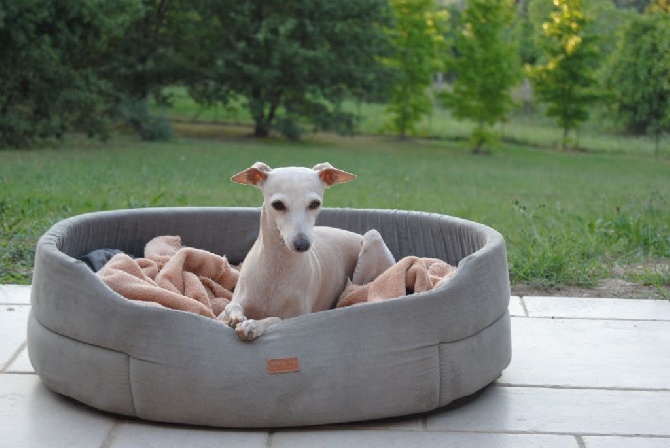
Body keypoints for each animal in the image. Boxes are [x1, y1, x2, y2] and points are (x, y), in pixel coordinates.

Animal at [220, 163, 396, 342]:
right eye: (278, 204)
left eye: (315, 203)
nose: (302, 244)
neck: (276, 269)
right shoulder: (227, 309)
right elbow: (231, 306)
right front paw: (236, 317)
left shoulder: (297, 317)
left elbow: (276, 319)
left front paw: (253, 325)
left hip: (372, 240)